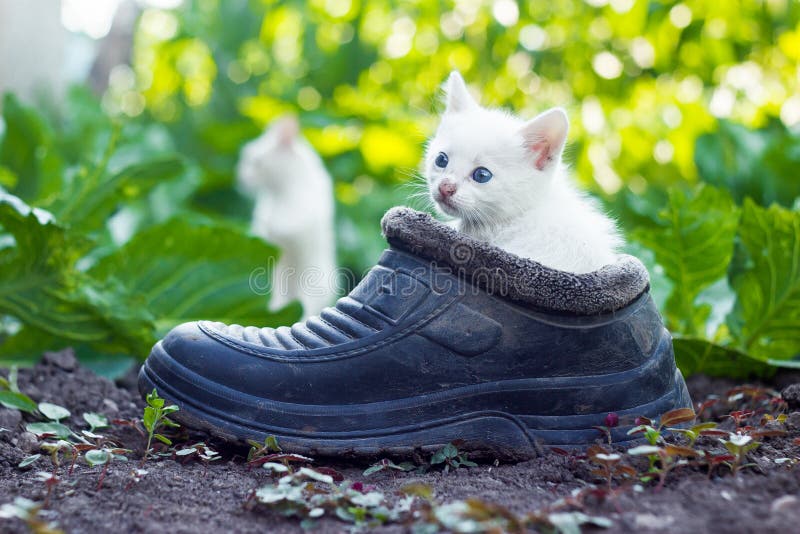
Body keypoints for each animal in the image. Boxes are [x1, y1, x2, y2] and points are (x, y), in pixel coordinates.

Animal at [238, 117, 338, 318]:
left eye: (255, 162)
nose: (240, 175)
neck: (282, 196)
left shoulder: (304, 261)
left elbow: (304, 301)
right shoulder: (273, 253)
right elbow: (278, 297)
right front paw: (275, 310)